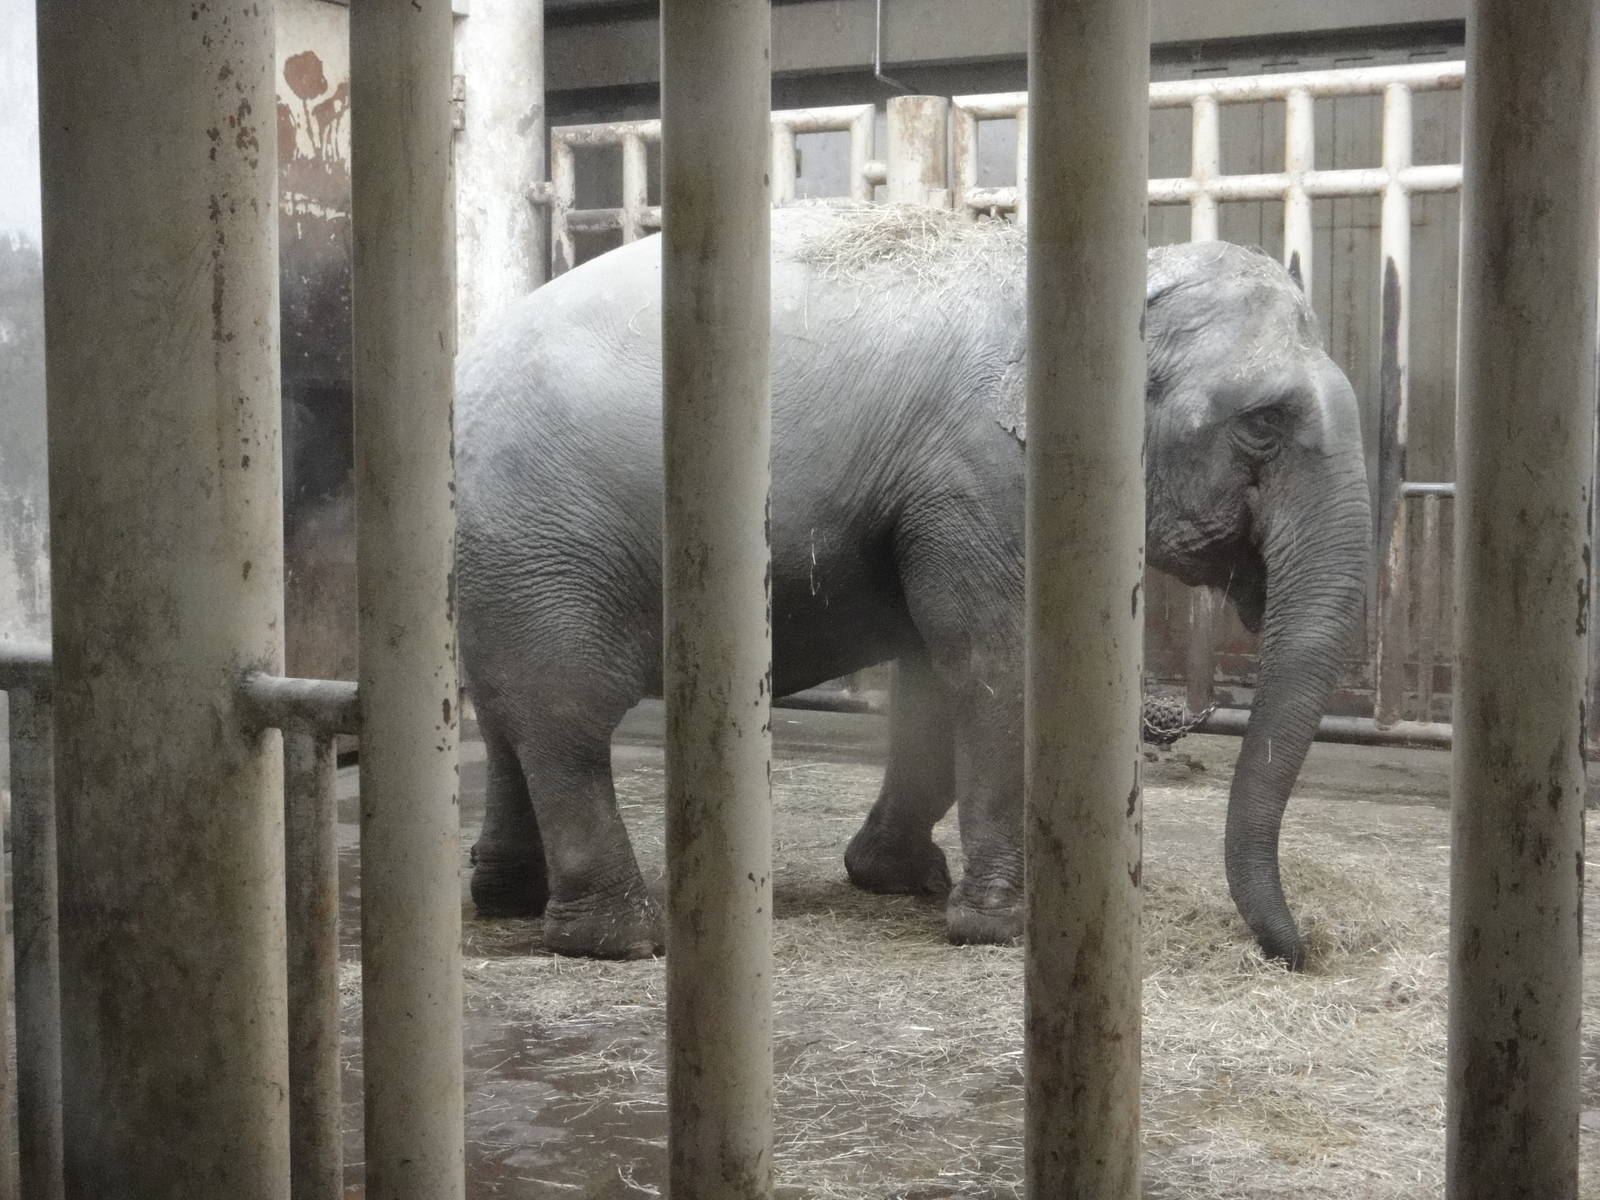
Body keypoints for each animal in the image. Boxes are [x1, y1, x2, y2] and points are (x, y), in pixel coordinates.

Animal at [456, 205, 1370, 968]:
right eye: (1262, 423)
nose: (1304, 950)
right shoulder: (981, 473)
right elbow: (996, 665)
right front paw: (1002, 927)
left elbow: (935, 677)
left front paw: (898, 878)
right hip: (549, 537)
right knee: (568, 713)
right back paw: (621, 940)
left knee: (505, 711)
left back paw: (506, 898)